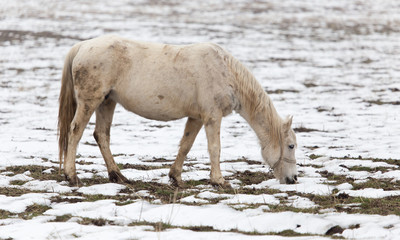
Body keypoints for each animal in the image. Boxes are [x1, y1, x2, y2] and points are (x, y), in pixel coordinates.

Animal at [58, 34, 296, 188]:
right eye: (291, 146)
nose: (293, 179)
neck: (225, 72)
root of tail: (82, 46)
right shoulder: (212, 117)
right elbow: (215, 148)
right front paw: (219, 181)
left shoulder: (196, 118)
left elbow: (185, 146)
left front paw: (176, 178)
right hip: (90, 102)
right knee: (75, 132)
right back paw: (72, 176)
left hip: (107, 103)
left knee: (102, 135)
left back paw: (118, 176)